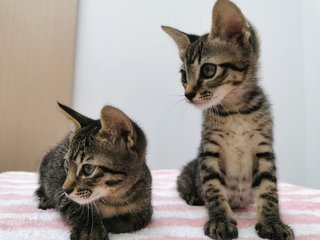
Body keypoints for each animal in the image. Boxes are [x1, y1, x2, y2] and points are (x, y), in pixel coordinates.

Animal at [34, 103, 152, 240]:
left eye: (88, 169)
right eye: (66, 164)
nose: (65, 190)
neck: (114, 198)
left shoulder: (146, 207)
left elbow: (138, 220)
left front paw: (110, 223)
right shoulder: (59, 183)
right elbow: (75, 205)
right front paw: (90, 230)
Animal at [162, 0, 296, 240]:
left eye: (208, 70)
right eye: (183, 76)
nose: (188, 94)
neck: (236, 112)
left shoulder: (264, 148)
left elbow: (269, 189)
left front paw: (272, 222)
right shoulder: (209, 152)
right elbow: (213, 188)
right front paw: (221, 221)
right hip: (189, 171)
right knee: (185, 185)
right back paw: (194, 197)